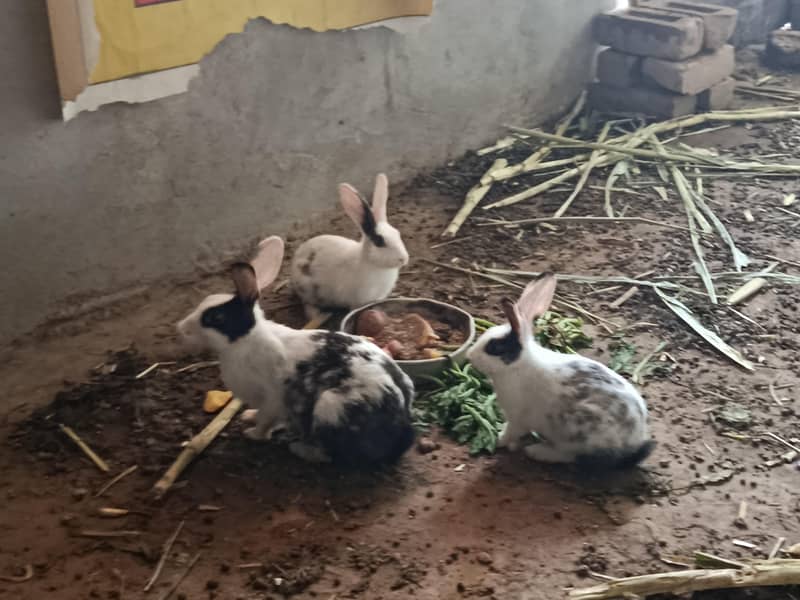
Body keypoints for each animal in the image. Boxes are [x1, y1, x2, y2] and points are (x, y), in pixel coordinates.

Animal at [177, 235, 416, 466]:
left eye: (216, 318)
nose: (181, 328)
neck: (245, 340)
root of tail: (401, 424)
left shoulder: (272, 400)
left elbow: (265, 422)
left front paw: (252, 433)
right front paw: (248, 416)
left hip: (330, 408)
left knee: (332, 456)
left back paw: (300, 449)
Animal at [290, 173, 409, 321]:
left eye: (397, 233)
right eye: (379, 241)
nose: (404, 259)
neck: (371, 263)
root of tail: (296, 258)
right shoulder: (358, 301)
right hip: (308, 291)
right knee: (308, 305)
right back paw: (318, 316)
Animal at [466, 273, 654, 470]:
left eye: (495, 347)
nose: (470, 356)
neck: (519, 365)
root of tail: (633, 442)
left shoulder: (517, 419)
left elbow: (511, 432)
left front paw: (499, 440)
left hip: (578, 430)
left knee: (572, 456)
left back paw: (538, 452)